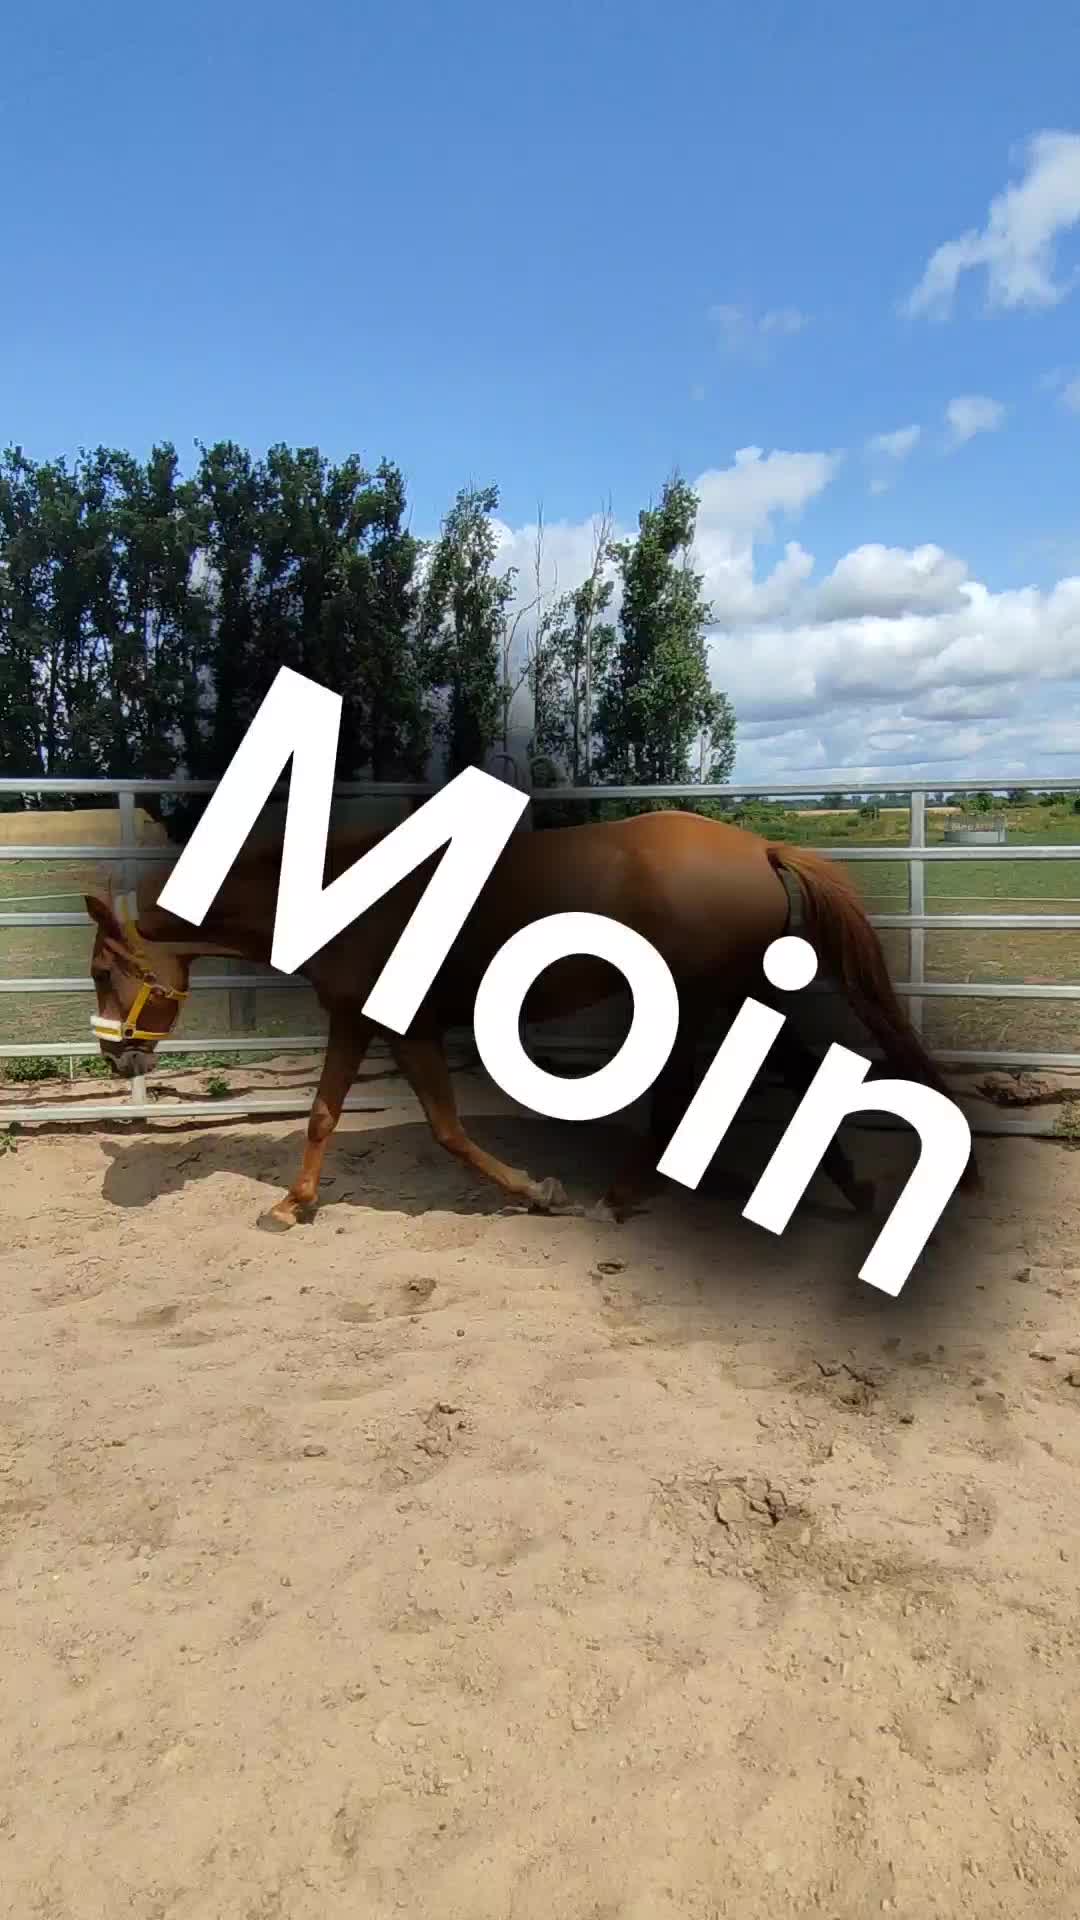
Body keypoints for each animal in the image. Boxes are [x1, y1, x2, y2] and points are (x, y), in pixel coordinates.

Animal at [84, 808, 978, 1231]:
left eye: (101, 969)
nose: (118, 1061)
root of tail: (758, 847)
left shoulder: (409, 1029)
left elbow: (447, 1129)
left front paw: (538, 1192)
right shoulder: (356, 1020)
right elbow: (322, 1113)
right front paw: (291, 1205)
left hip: (702, 1002)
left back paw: (610, 1201)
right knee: (794, 1067)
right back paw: (856, 1190)